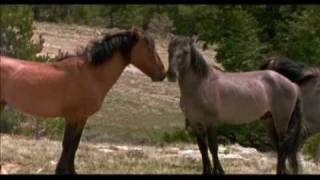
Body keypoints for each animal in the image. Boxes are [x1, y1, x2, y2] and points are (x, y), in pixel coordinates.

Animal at [0, 27, 165, 174]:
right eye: (149, 48)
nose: (163, 73)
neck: (91, 74)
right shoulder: (72, 117)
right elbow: (67, 144)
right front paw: (61, 170)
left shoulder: (82, 118)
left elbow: (75, 144)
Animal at [166, 35, 304, 174]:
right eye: (169, 50)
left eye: (185, 52)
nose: (171, 74)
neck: (200, 86)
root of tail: (292, 84)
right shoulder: (195, 123)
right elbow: (202, 148)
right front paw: (207, 171)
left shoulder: (211, 122)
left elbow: (213, 147)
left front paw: (219, 171)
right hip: (268, 119)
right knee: (278, 145)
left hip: (281, 120)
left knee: (282, 145)